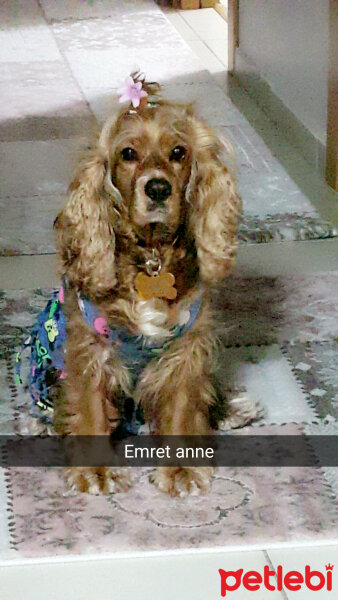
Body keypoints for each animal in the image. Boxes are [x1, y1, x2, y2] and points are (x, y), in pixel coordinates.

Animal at [22, 75, 242, 496]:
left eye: (178, 152)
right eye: (127, 153)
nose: (157, 188)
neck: (151, 258)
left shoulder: (187, 347)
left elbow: (183, 404)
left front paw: (181, 469)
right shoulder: (90, 347)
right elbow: (90, 406)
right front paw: (95, 472)